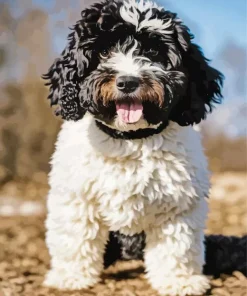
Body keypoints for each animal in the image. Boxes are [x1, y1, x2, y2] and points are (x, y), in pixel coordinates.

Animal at [43, 1, 226, 294]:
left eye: (152, 51)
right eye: (104, 51)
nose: (128, 82)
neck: (129, 139)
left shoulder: (177, 207)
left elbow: (177, 249)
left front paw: (180, 281)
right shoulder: (77, 198)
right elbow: (76, 238)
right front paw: (71, 276)